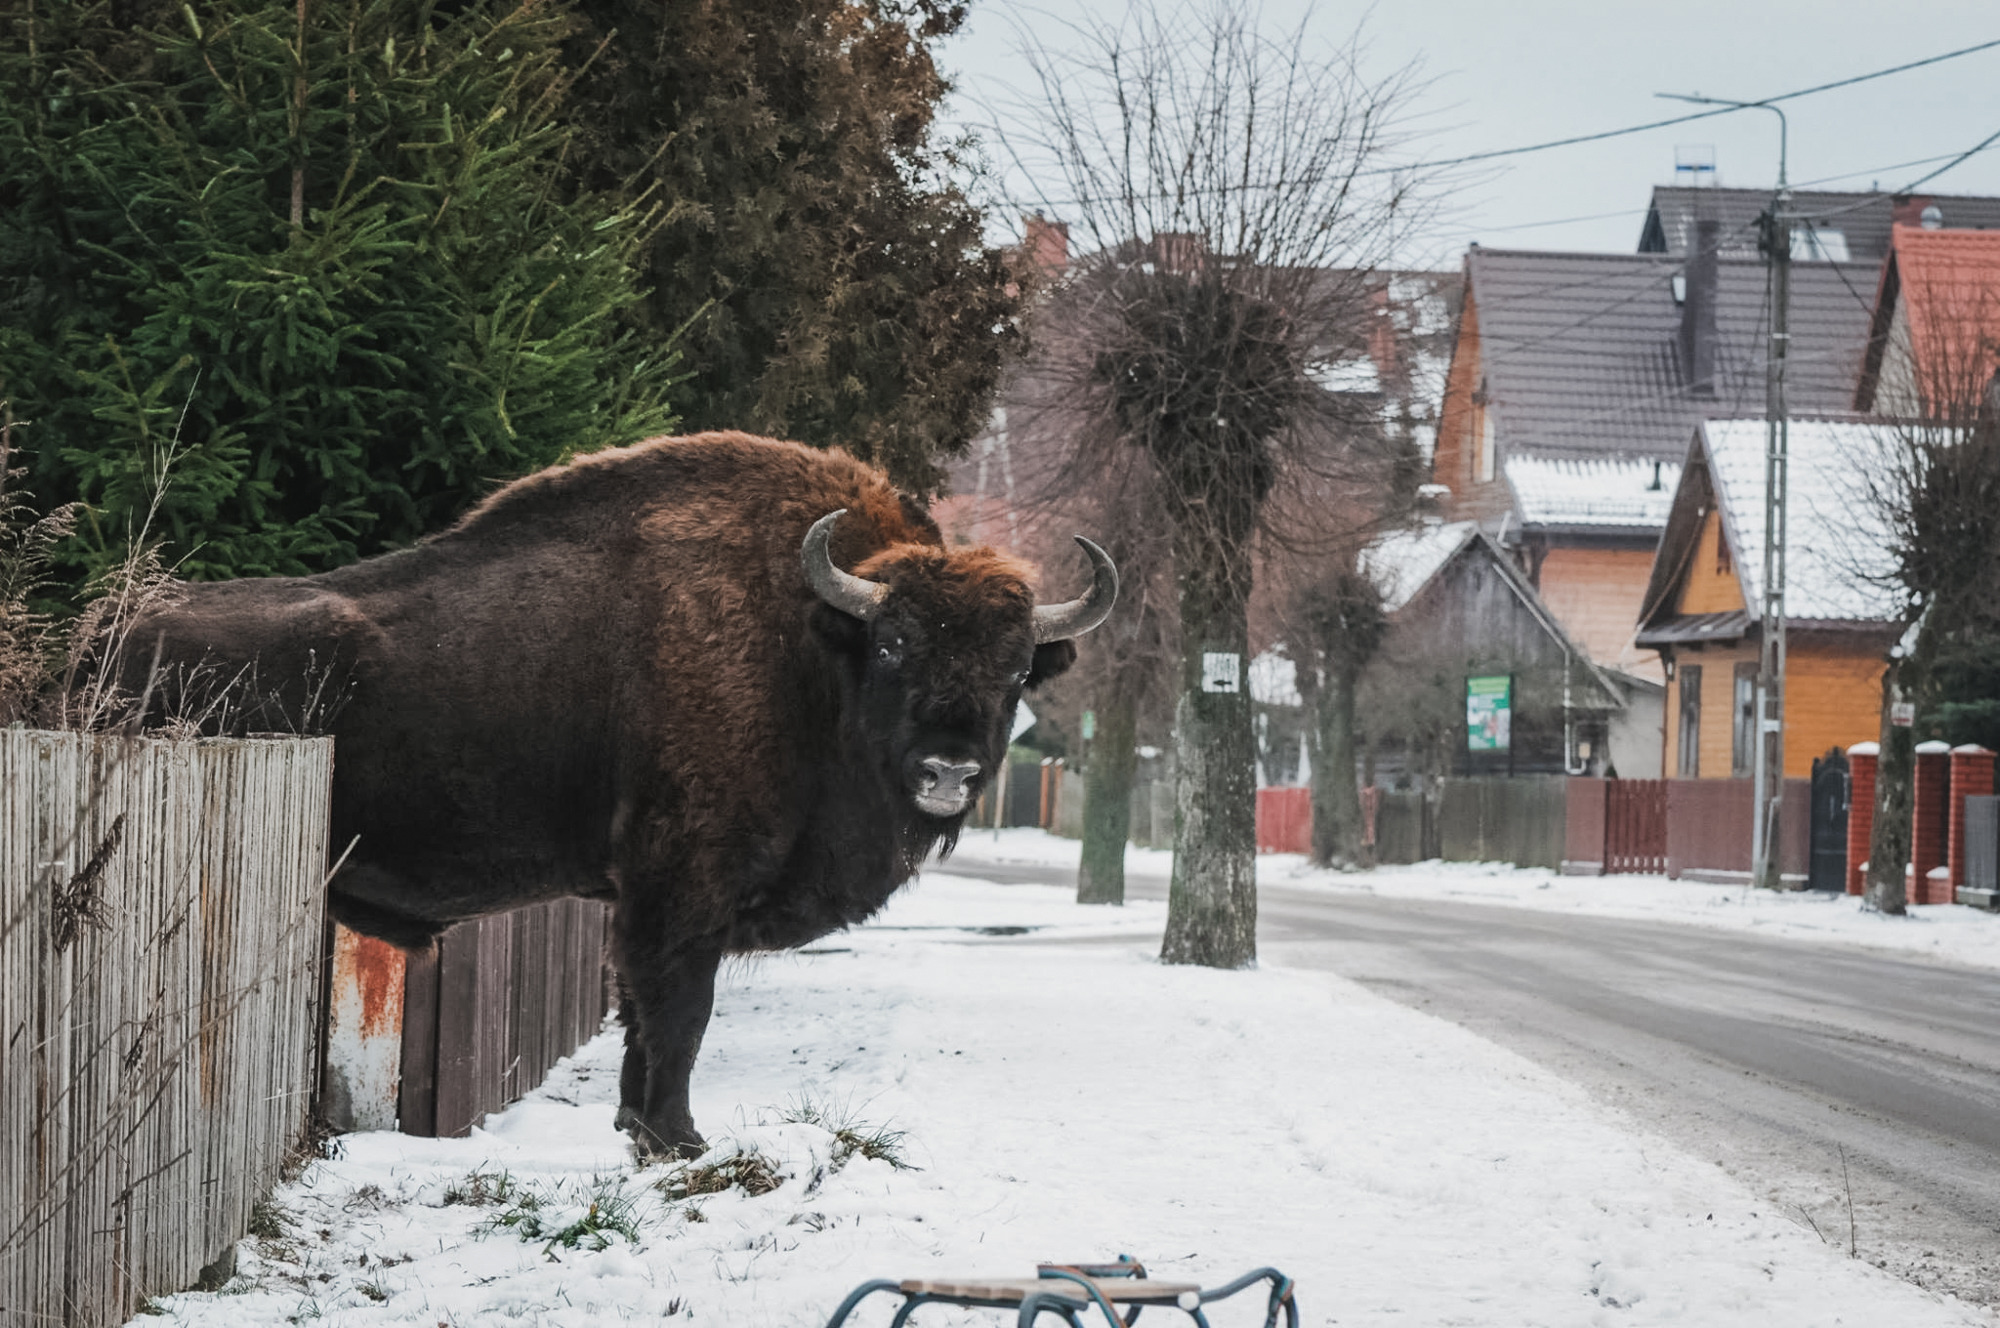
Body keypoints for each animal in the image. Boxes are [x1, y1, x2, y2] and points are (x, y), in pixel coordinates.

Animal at [131, 434, 1120, 1152]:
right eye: (894, 644)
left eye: (1016, 667)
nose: (949, 770)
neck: (811, 646)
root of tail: (114, 634)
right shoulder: (681, 892)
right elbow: (679, 1012)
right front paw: (677, 1139)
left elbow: (643, 1021)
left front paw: (636, 1127)